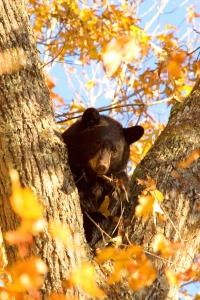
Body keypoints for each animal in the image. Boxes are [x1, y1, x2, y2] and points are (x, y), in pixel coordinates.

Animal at [62, 108, 144, 248]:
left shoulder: (114, 184)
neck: (91, 174)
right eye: (98, 143)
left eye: (115, 150)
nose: (102, 166)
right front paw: (84, 196)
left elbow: (105, 215)